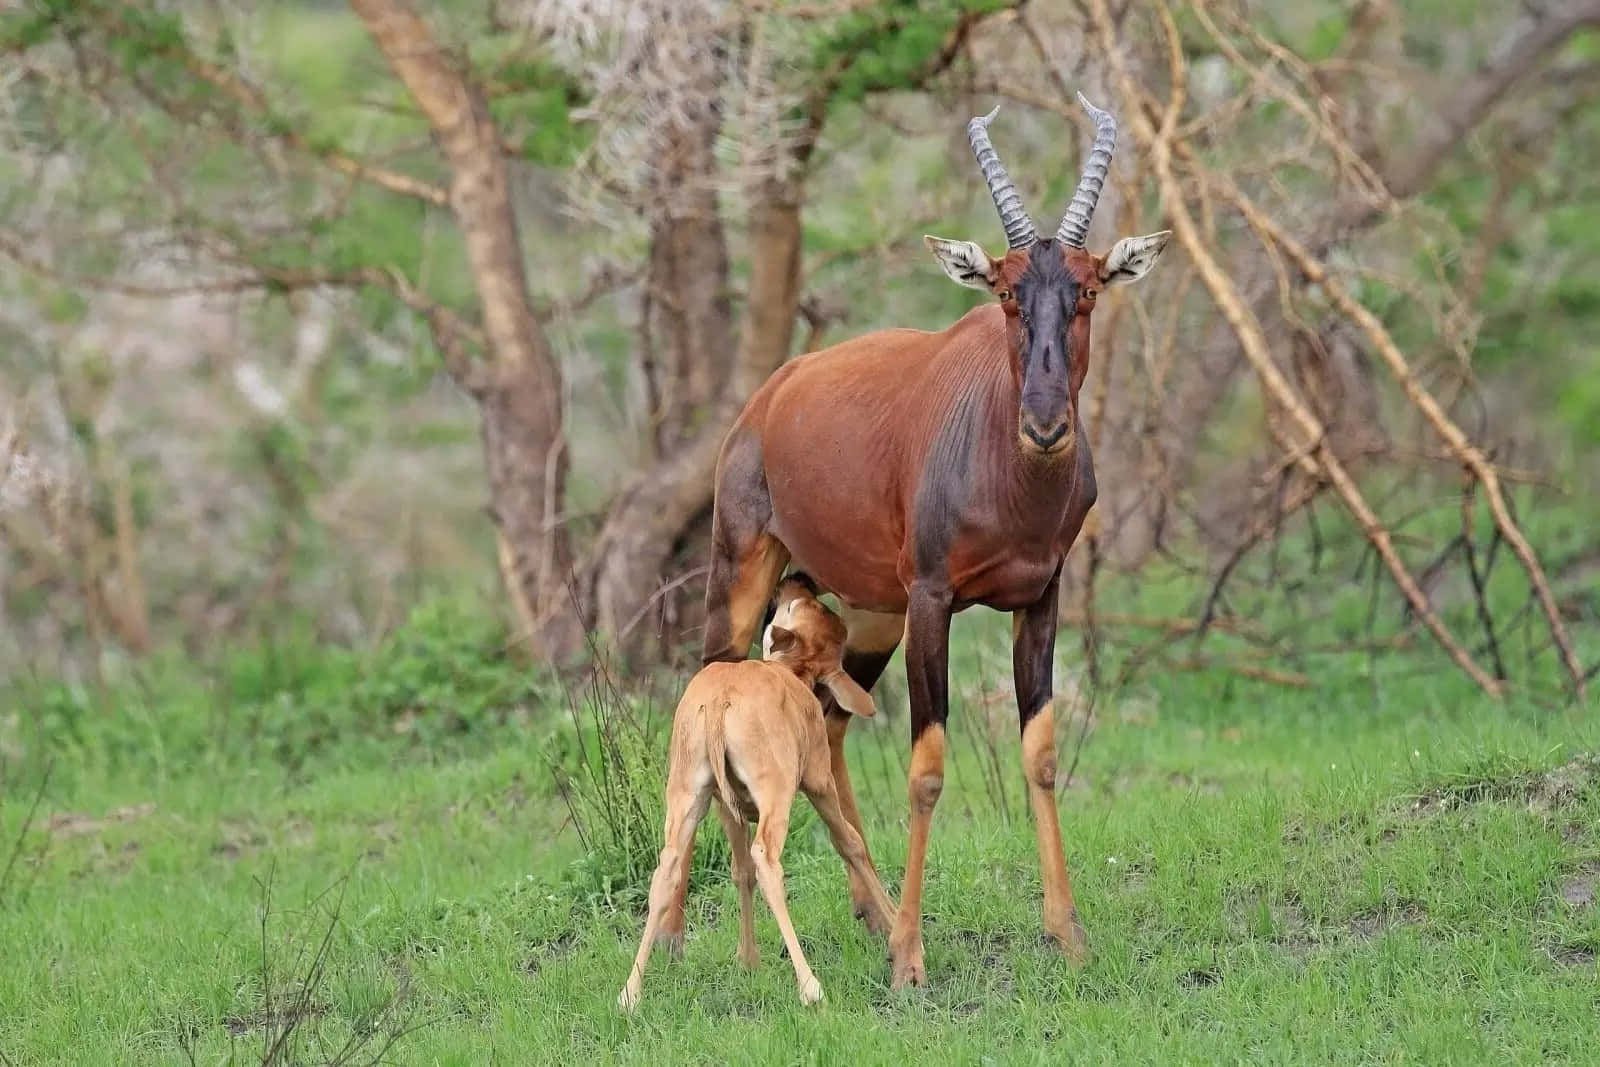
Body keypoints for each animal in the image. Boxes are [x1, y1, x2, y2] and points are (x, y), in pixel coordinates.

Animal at [694, 95, 1171, 991]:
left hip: (866, 612)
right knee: (715, 696)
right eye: (1007, 292)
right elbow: (926, 769)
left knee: (829, 723)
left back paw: (870, 911)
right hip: (748, 578)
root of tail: (769, 396)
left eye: (1088, 288)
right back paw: (731, 944)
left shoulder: (1039, 598)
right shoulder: (934, 600)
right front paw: (912, 961)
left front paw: (1067, 933)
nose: (1045, 425)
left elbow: (1040, 752)